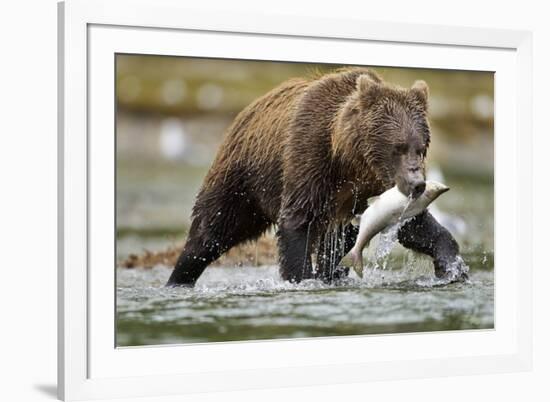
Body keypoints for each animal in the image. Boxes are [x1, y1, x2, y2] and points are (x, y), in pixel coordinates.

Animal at [167, 66, 466, 286]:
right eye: (398, 147)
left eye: (421, 148)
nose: (417, 184)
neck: (349, 161)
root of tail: (246, 111)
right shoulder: (310, 159)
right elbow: (297, 222)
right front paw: (302, 278)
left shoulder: (372, 189)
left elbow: (413, 224)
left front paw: (452, 268)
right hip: (242, 179)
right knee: (211, 231)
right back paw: (179, 279)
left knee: (341, 243)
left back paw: (332, 276)